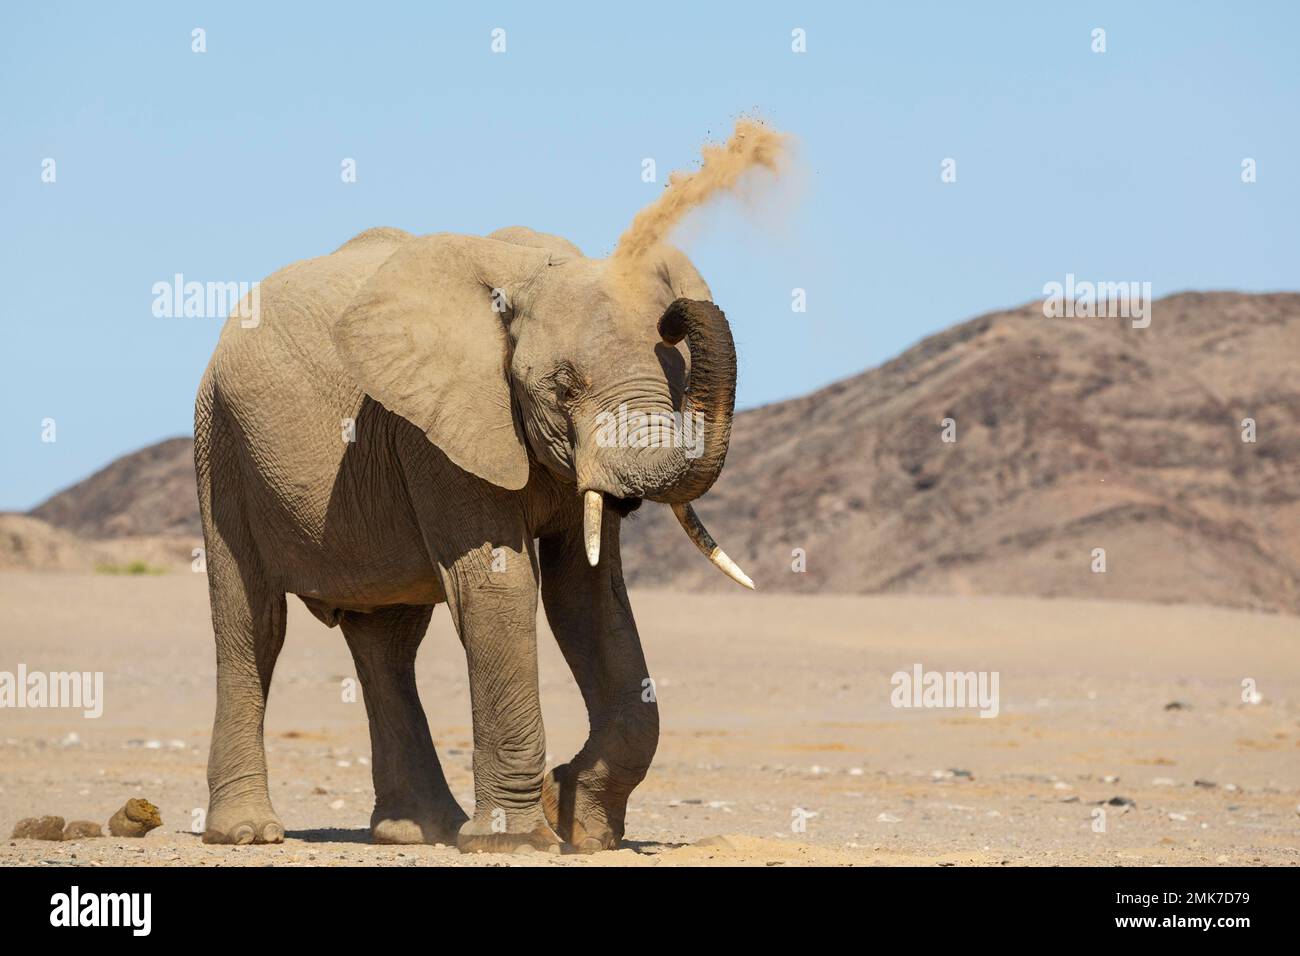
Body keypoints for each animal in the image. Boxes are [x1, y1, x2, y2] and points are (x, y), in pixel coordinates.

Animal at [192, 223, 754, 853]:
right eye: (563, 387)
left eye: (676, 383)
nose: (676, 317)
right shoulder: (438, 431)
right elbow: (499, 588)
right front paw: (518, 842)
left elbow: (586, 597)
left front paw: (577, 823)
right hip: (220, 441)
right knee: (254, 624)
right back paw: (247, 832)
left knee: (388, 645)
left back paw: (421, 831)